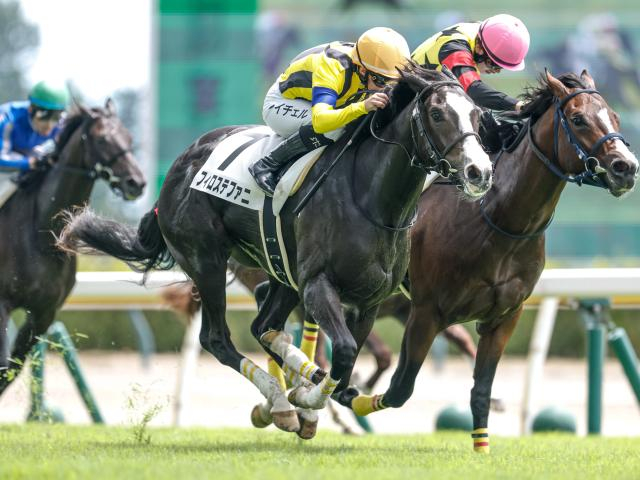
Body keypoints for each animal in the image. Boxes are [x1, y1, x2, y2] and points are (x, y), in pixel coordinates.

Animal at [0, 100, 146, 396]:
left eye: (128, 137)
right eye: (102, 139)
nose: (136, 182)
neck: (41, 235)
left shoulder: (44, 312)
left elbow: (12, 368)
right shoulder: (2, 302)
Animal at [57, 65, 493, 438]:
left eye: (477, 116)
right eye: (437, 114)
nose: (480, 172)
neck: (370, 199)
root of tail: (180, 166)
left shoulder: (369, 301)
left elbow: (348, 360)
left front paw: (317, 395)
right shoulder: (318, 285)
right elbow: (344, 352)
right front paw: (308, 399)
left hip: (281, 272)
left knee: (263, 326)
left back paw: (290, 390)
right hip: (208, 261)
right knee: (218, 339)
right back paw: (282, 403)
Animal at [347, 70, 638, 452]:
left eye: (615, 117)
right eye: (578, 119)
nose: (626, 167)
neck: (500, 220)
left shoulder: (504, 316)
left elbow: (481, 389)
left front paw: (482, 447)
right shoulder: (426, 312)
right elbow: (400, 388)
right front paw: (353, 399)